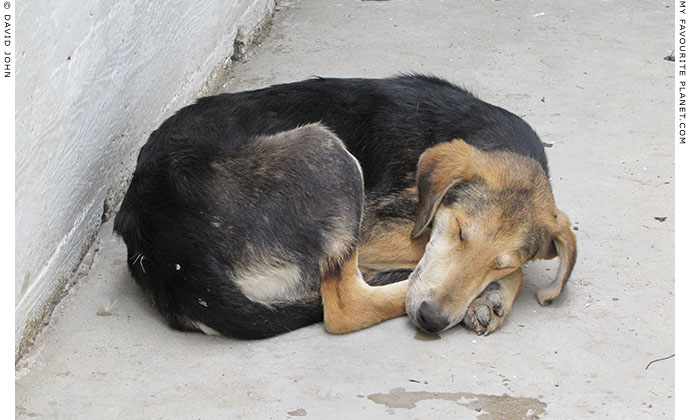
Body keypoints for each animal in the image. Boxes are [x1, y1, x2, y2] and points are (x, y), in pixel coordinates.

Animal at [114, 74, 576, 338]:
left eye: (497, 261)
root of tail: (162, 251)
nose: (430, 319)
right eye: (460, 232)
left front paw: (491, 293)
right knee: (344, 307)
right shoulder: (377, 230)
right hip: (327, 152)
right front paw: (495, 293)